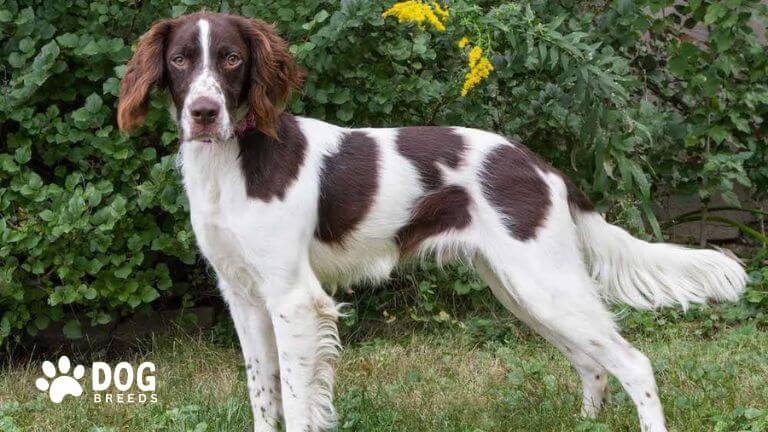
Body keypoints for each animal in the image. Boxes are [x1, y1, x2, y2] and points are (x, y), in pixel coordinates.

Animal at [117, 12, 748, 432]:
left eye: (231, 59)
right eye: (179, 60)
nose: (204, 113)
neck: (232, 162)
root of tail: (541, 164)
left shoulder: (294, 299)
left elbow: (296, 403)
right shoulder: (243, 297)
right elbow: (263, 396)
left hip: (544, 281)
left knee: (634, 364)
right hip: (521, 289)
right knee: (592, 364)